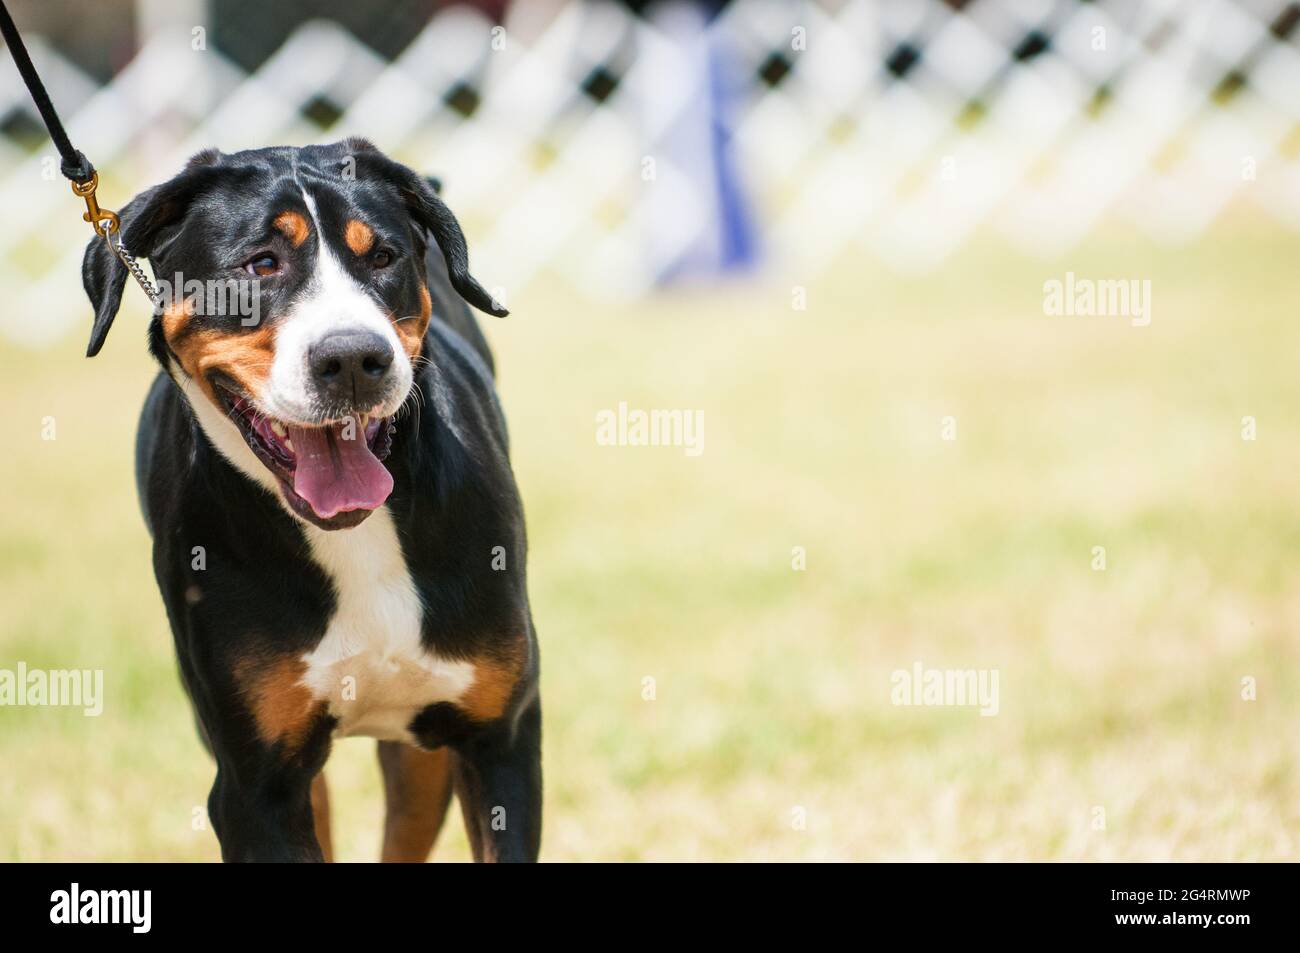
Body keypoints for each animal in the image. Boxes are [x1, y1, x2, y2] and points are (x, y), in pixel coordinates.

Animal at [81, 139, 540, 863]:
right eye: (261, 263)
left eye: (382, 256)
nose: (352, 358)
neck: (356, 540)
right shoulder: (256, 786)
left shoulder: (501, 740)